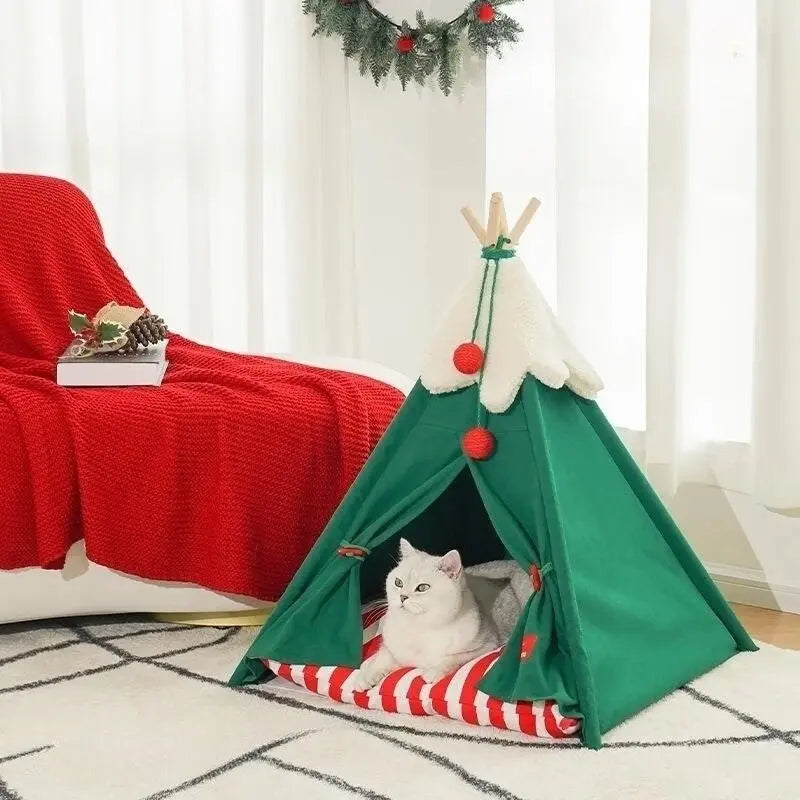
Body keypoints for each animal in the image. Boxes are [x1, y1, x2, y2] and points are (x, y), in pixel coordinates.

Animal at [352, 536, 496, 688]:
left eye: (422, 588)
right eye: (398, 582)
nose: (402, 597)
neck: (418, 626)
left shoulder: (486, 645)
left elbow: (453, 658)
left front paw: (434, 672)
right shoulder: (392, 647)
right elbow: (383, 657)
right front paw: (366, 676)